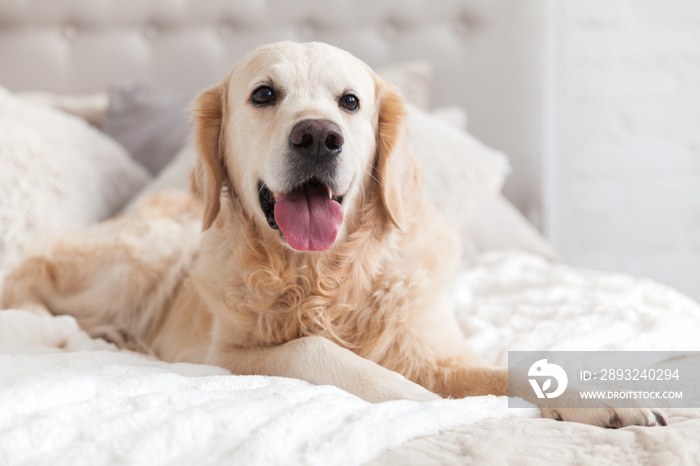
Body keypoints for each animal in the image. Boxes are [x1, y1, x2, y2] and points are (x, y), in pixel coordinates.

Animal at [1, 41, 668, 428]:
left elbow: (511, 362)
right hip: (146, 255)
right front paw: (421, 405)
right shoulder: (230, 355)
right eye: (263, 94)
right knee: (29, 286)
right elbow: (319, 351)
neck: (327, 272)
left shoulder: (436, 352)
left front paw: (603, 398)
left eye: (350, 101)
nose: (319, 136)